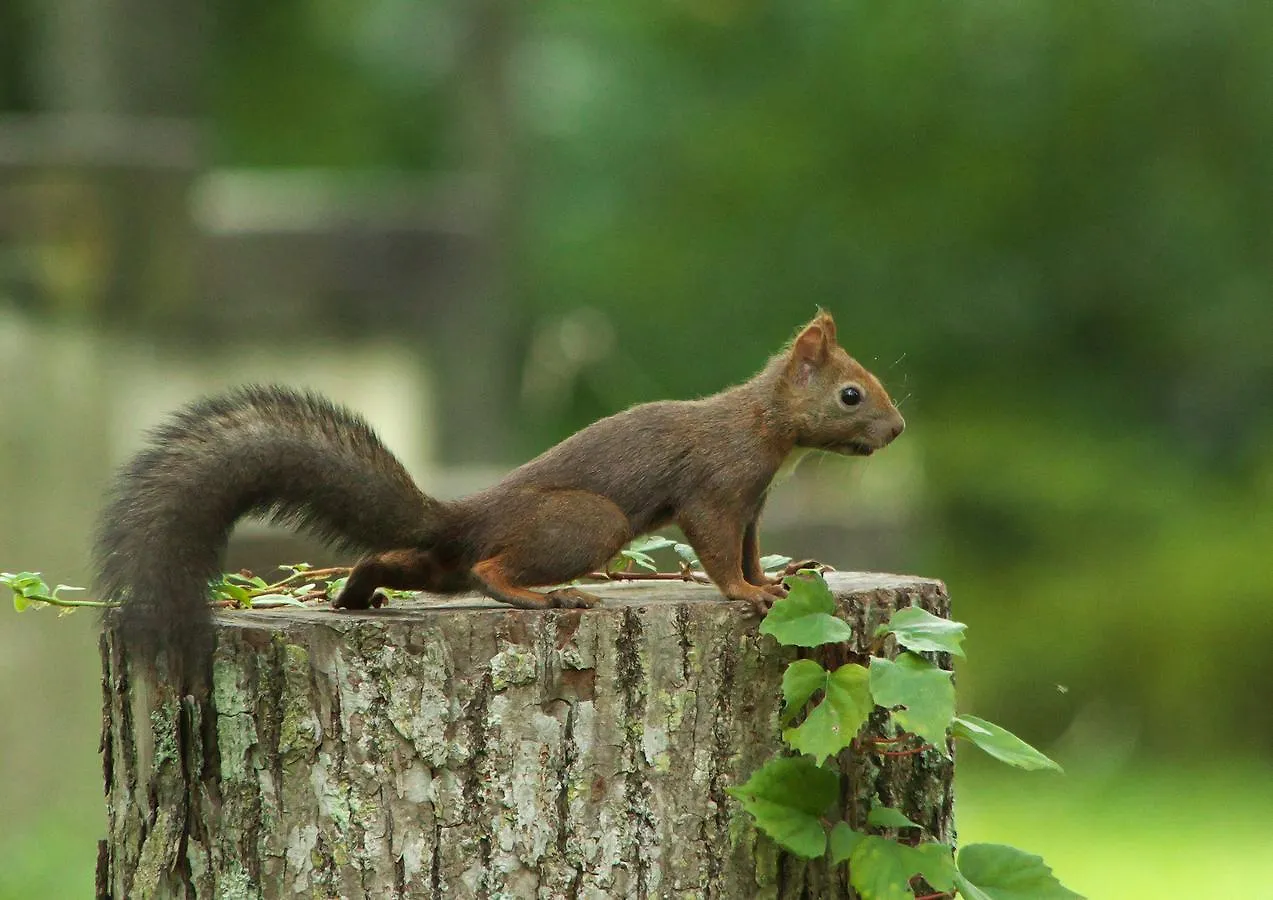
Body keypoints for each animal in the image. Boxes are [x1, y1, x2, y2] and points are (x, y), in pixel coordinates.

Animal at [92, 311, 906, 682]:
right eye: (851, 394)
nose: (898, 430)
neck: (763, 426)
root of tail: (467, 515)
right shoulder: (716, 489)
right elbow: (716, 550)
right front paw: (745, 593)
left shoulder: (753, 506)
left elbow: (748, 547)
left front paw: (774, 580)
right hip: (587, 522)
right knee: (491, 571)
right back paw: (547, 597)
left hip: (439, 564)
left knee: (405, 563)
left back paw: (356, 596)